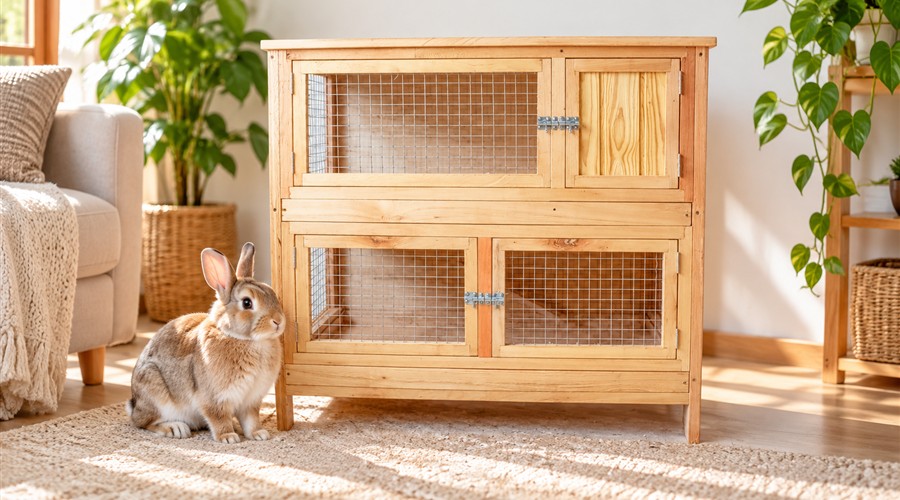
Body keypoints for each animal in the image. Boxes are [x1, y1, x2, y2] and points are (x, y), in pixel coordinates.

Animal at [125, 242, 285, 443]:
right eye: (247, 303)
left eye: (273, 294)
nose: (278, 321)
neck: (245, 339)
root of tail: (134, 403)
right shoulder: (214, 399)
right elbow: (218, 418)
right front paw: (228, 437)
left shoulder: (251, 400)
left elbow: (251, 419)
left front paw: (259, 434)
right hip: (156, 394)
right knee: (143, 422)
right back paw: (176, 428)